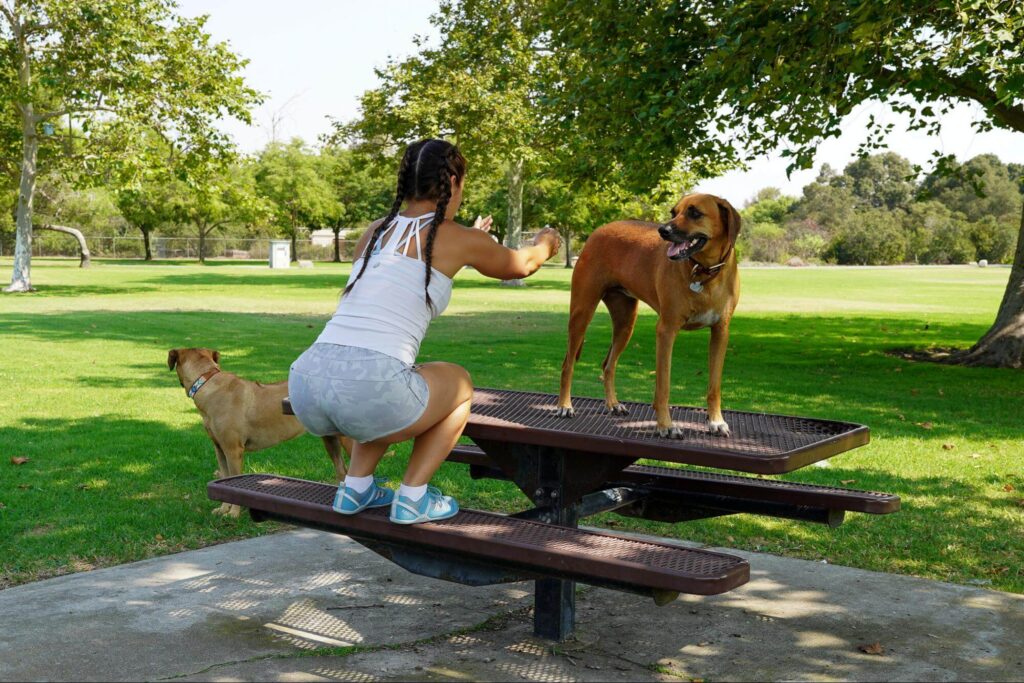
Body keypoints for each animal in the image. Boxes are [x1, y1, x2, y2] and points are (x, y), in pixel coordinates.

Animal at [166, 350, 352, 516]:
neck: (207, 381)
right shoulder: (219, 448)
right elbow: (225, 476)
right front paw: (223, 509)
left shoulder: (233, 450)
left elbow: (234, 478)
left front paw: (233, 513)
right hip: (330, 439)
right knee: (341, 470)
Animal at [561, 192, 745, 438]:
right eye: (673, 212)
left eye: (695, 213)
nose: (663, 230)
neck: (705, 272)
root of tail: (598, 231)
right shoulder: (666, 330)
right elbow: (663, 385)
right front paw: (666, 426)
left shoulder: (721, 332)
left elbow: (714, 385)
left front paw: (716, 421)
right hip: (582, 313)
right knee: (568, 363)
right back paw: (564, 405)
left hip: (626, 322)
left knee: (608, 364)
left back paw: (613, 404)